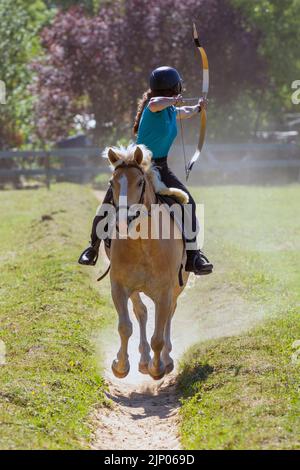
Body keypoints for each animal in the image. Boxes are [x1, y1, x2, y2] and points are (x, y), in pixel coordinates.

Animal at [102, 145, 189, 380]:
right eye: (112, 183)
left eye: (140, 182)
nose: (123, 222)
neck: (142, 243)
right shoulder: (119, 286)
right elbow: (125, 326)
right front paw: (121, 365)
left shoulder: (165, 292)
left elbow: (158, 336)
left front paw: (157, 368)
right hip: (135, 289)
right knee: (141, 312)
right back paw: (142, 359)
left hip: (176, 288)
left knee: (169, 314)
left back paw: (165, 359)